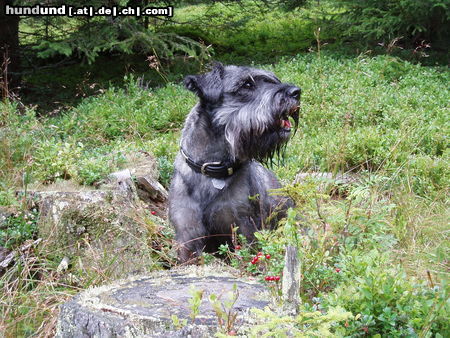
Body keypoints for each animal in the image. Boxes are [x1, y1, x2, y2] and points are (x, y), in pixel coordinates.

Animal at [171, 64, 300, 264]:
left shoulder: (243, 227)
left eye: (273, 80)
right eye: (246, 84)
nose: (296, 92)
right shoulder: (187, 235)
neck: (213, 169)